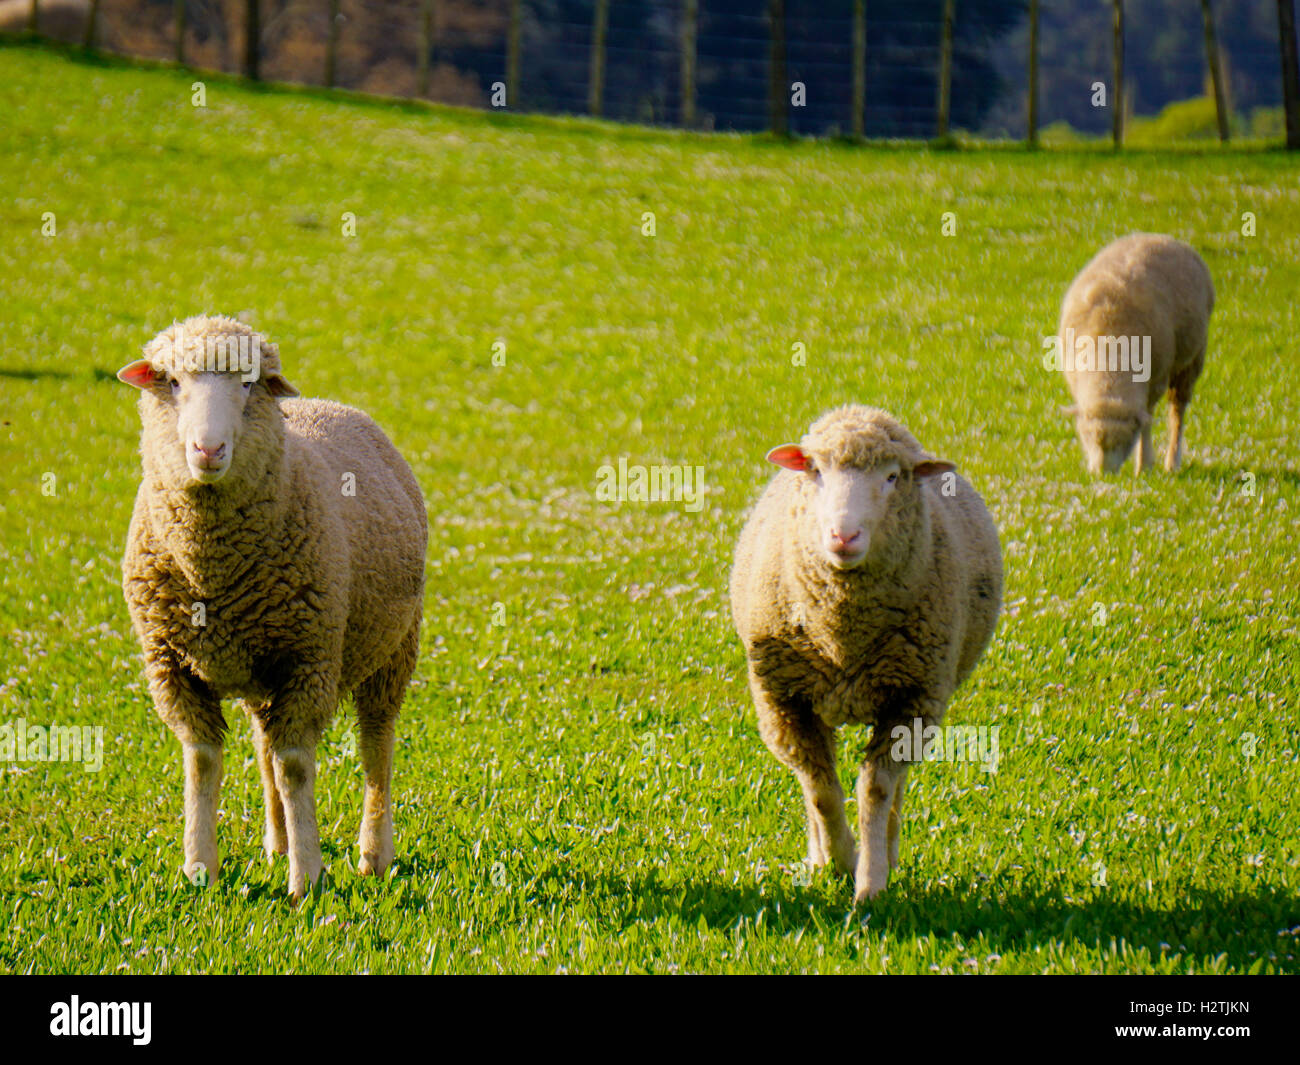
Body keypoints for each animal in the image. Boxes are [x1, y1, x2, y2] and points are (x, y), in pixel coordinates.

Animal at [117, 315, 427, 899]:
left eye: (248, 383)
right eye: (172, 381)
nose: (208, 448)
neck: (212, 568)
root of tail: (330, 403)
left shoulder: (307, 660)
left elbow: (296, 769)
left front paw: (307, 878)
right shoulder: (174, 667)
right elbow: (203, 761)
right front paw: (200, 868)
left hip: (394, 649)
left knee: (376, 746)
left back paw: (374, 853)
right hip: (260, 669)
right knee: (264, 746)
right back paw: (277, 841)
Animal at [729, 406, 1002, 902]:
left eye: (893, 477)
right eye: (816, 471)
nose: (844, 535)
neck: (843, 633)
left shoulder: (911, 699)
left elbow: (875, 790)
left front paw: (870, 882)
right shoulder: (785, 702)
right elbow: (820, 790)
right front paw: (838, 861)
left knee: (896, 786)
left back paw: (888, 853)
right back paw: (819, 856)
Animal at [1053, 233, 1214, 475]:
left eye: (1126, 439)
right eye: (1087, 436)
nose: (1103, 473)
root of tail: (1159, 237)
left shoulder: (1155, 381)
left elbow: (1146, 422)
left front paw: (1144, 463)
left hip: (1192, 360)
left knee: (1177, 411)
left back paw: (1172, 461)